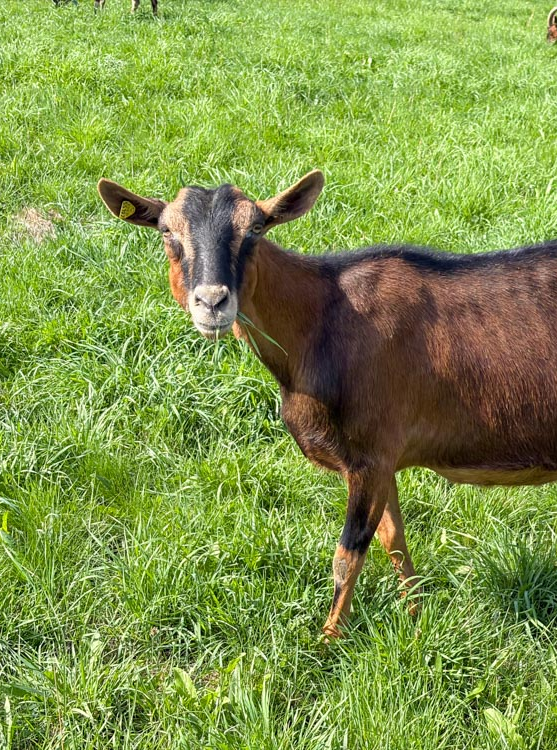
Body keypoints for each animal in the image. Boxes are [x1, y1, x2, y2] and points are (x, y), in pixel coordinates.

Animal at [98, 171, 557, 638]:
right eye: (166, 231)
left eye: (255, 228)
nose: (212, 302)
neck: (322, 320)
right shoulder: (383, 460)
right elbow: (393, 540)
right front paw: (415, 617)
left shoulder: (370, 454)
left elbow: (347, 555)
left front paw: (327, 641)